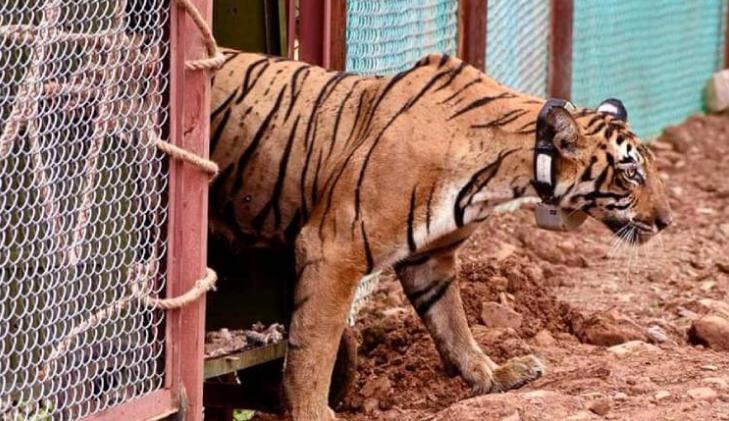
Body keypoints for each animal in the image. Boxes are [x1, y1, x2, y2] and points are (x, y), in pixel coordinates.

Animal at [206, 47, 672, 418]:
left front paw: (494, 375)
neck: (507, 173)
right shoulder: (335, 245)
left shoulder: (429, 257)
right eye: (631, 172)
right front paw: (311, 412)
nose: (667, 220)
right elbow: (315, 345)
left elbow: (452, 323)